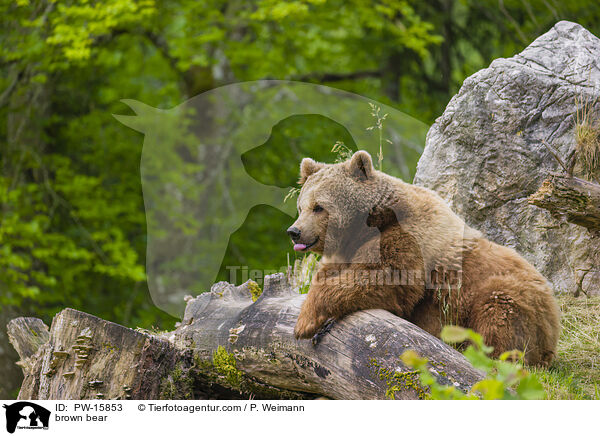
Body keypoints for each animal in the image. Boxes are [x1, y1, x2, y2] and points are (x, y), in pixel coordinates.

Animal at [288, 150, 560, 364]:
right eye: (301, 206)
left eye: (319, 207)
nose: (294, 231)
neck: (366, 225)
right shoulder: (348, 251)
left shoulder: (408, 237)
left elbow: (388, 280)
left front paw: (306, 322)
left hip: (509, 296)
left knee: (498, 321)